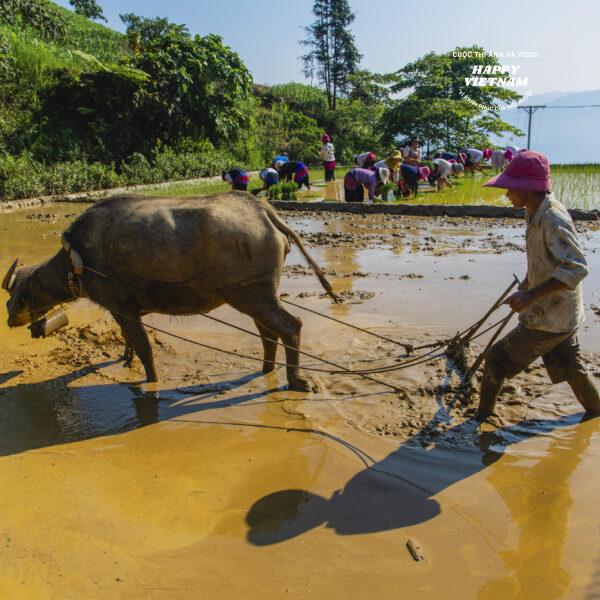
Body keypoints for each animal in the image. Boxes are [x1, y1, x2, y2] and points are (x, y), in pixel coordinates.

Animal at [3, 190, 338, 392]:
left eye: (13, 295)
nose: (8, 317)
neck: (78, 257)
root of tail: (262, 208)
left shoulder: (120, 305)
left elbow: (144, 347)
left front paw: (152, 381)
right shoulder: (125, 309)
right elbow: (129, 341)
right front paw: (125, 360)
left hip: (251, 294)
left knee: (290, 326)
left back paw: (296, 380)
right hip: (258, 294)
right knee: (268, 333)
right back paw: (267, 369)